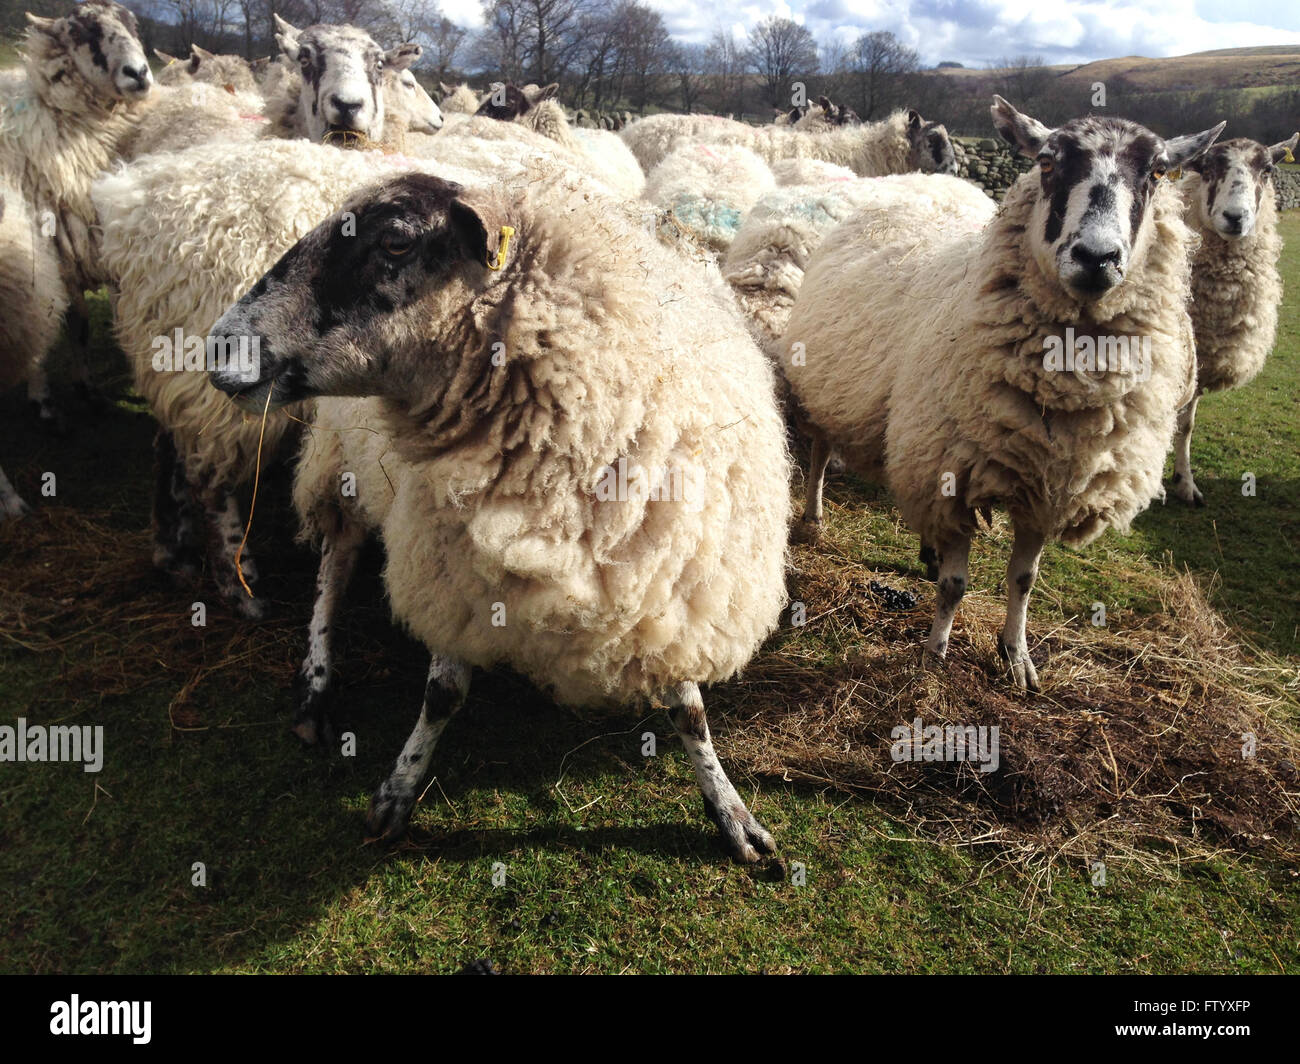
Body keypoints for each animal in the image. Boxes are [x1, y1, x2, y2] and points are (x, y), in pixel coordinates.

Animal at [205, 167, 790, 863]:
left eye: (396, 242)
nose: (218, 347)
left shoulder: (667, 590)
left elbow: (689, 712)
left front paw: (732, 812)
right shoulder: (449, 574)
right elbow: (441, 696)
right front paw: (398, 791)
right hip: (339, 463)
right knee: (335, 565)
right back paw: (316, 682)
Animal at [774, 97, 1222, 686]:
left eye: (1157, 172)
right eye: (1048, 162)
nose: (1096, 258)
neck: (1059, 394)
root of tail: (906, 187)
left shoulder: (1048, 489)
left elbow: (1023, 581)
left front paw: (1017, 656)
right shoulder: (954, 469)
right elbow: (956, 585)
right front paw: (935, 655)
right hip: (828, 390)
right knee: (822, 454)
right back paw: (815, 518)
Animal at [1175, 132, 1294, 504]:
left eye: (1267, 169)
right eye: (1206, 167)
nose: (1235, 217)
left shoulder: (1201, 362)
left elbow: (1186, 425)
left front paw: (1185, 482)